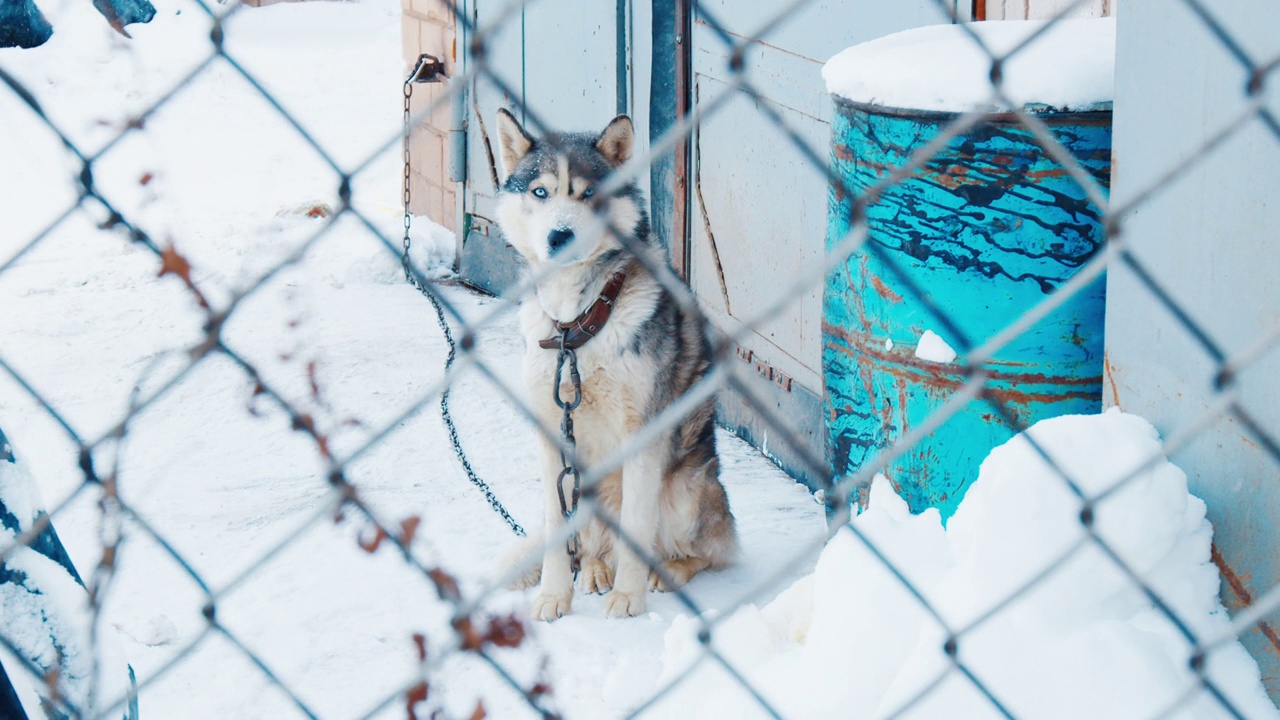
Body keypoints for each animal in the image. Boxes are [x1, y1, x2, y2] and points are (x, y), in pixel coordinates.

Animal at [494, 109, 742, 620]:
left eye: (588, 194)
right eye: (540, 192)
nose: (561, 236)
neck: (576, 327)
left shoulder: (642, 435)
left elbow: (636, 530)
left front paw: (630, 597)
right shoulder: (553, 440)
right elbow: (558, 533)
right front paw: (553, 596)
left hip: (687, 491)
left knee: (704, 552)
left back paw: (664, 573)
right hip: (586, 487)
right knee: (592, 543)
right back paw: (593, 570)